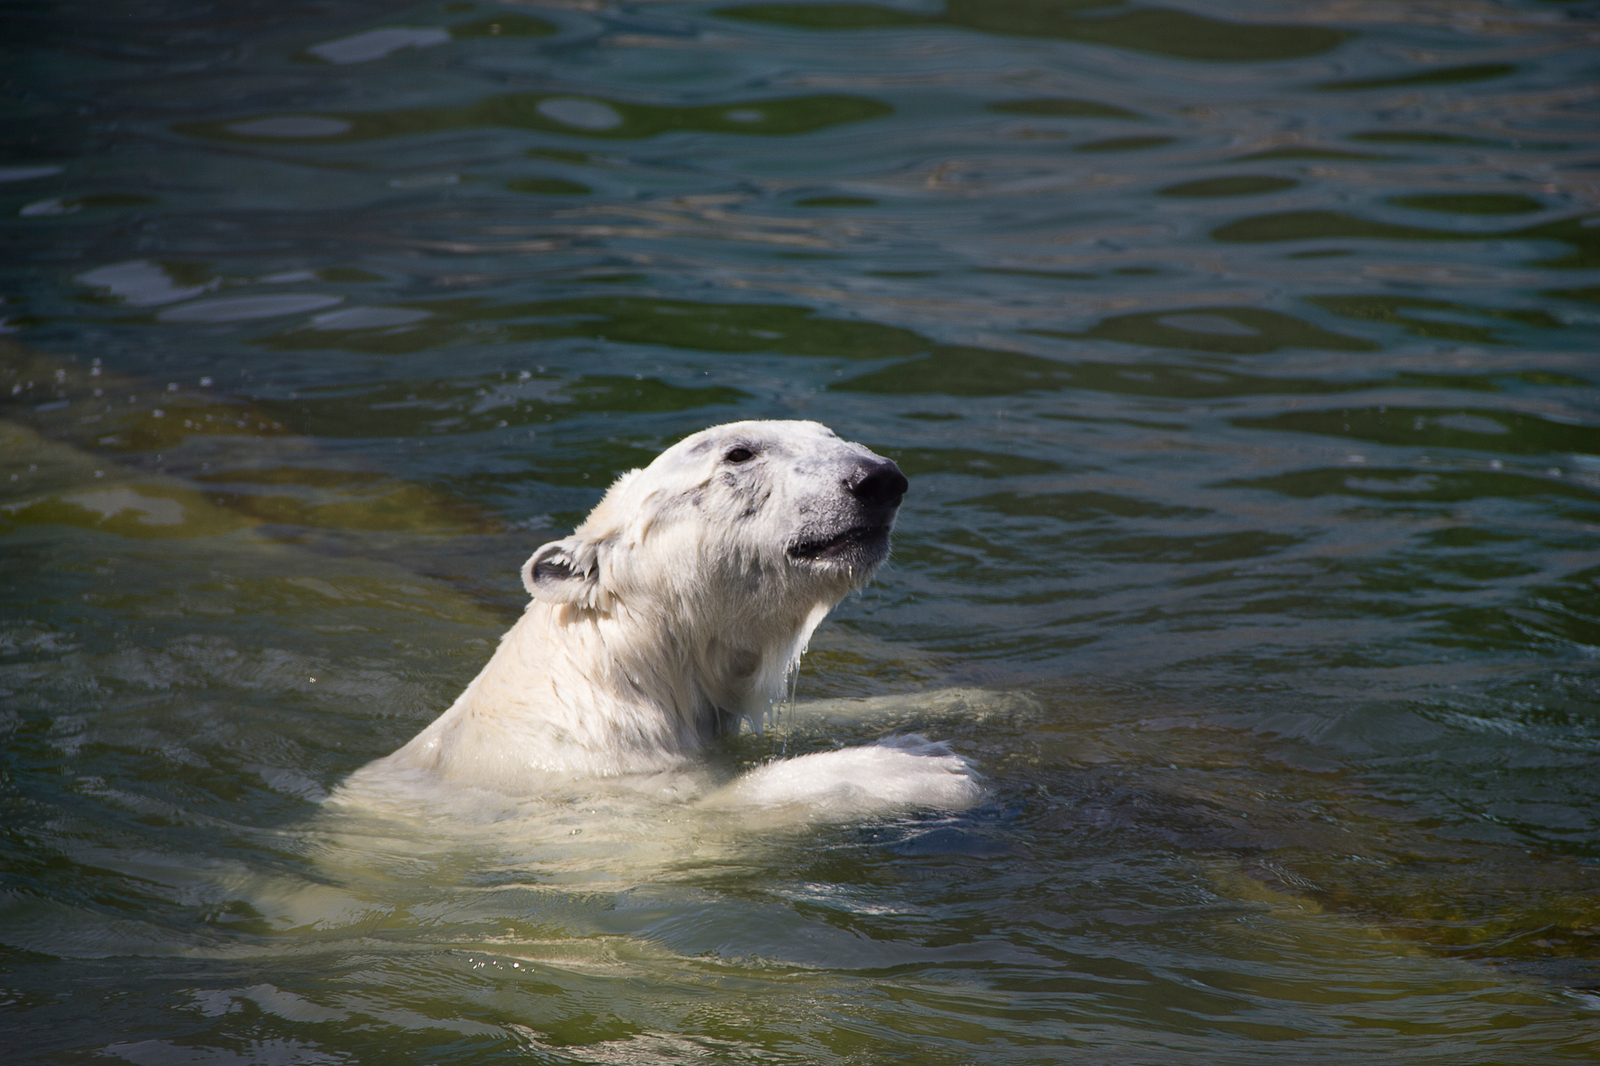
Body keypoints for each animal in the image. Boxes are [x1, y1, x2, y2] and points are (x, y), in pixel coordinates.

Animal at [344, 419, 979, 809]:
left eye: (828, 433)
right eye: (740, 452)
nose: (878, 479)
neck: (617, 662)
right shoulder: (595, 776)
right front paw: (921, 766)